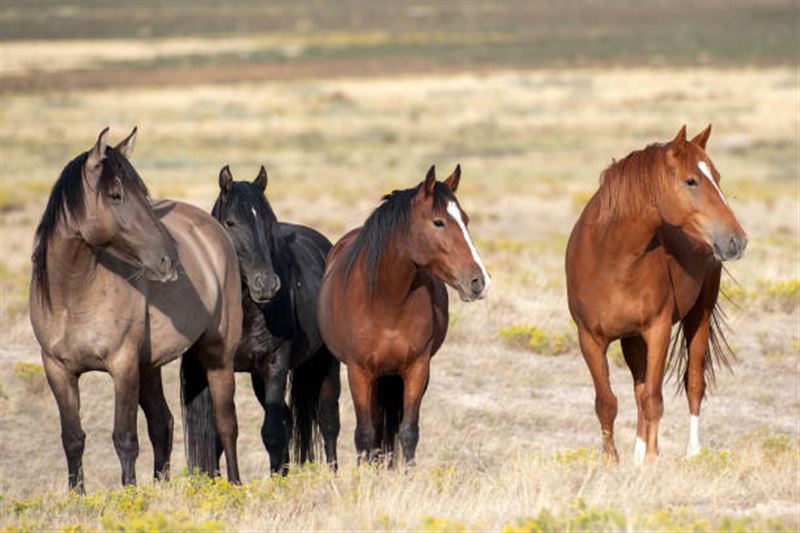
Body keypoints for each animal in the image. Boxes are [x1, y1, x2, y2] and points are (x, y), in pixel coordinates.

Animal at [29, 128, 242, 490]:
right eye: (116, 195)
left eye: (143, 193)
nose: (169, 259)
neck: (73, 296)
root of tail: (214, 230)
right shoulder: (57, 369)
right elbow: (72, 438)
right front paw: (77, 495)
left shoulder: (123, 365)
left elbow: (125, 438)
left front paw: (128, 493)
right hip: (150, 365)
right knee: (162, 423)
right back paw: (161, 485)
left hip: (217, 354)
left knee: (225, 422)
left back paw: (236, 485)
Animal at [181, 164, 340, 472]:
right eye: (230, 223)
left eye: (269, 223)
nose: (266, 284)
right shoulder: (218, 367)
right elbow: (219, 434)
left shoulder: (275, 364)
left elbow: (272, 432)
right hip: (257, 377)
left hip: (324, 363)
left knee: (328, 421)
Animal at [316, 164, 490, 464]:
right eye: (438, 222)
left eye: (466, 219)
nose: (479, 281)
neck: (387, 301)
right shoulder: (359, 372)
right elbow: (365, 435)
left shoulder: (417, 368)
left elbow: (408, 432)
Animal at [564, 123, 748, 462]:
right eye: (691, 180)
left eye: (717, 177)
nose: (737, 240)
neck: (611, 258)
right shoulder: (590, 339)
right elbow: (607, 402)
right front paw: (613, 462)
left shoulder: (658, 329)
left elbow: (654, 399)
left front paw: (652, 463)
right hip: (632, 338)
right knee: (638, 389)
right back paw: (637, 456)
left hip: (698, 316)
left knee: (693, 383)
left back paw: (692, 453)